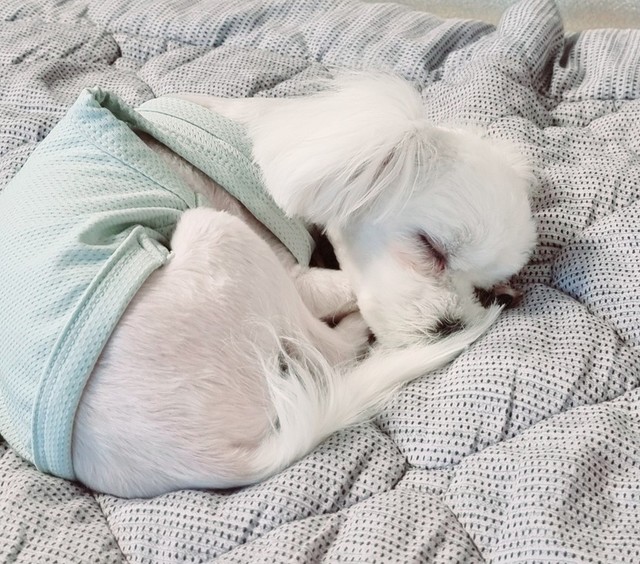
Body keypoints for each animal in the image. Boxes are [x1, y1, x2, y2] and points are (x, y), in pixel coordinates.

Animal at [63, 73, 537, 497]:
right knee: (329, 350)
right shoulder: (293, 269)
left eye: (483, 290)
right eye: (430, 247)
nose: (450, 326)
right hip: (218, 231)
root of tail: (198, 458)